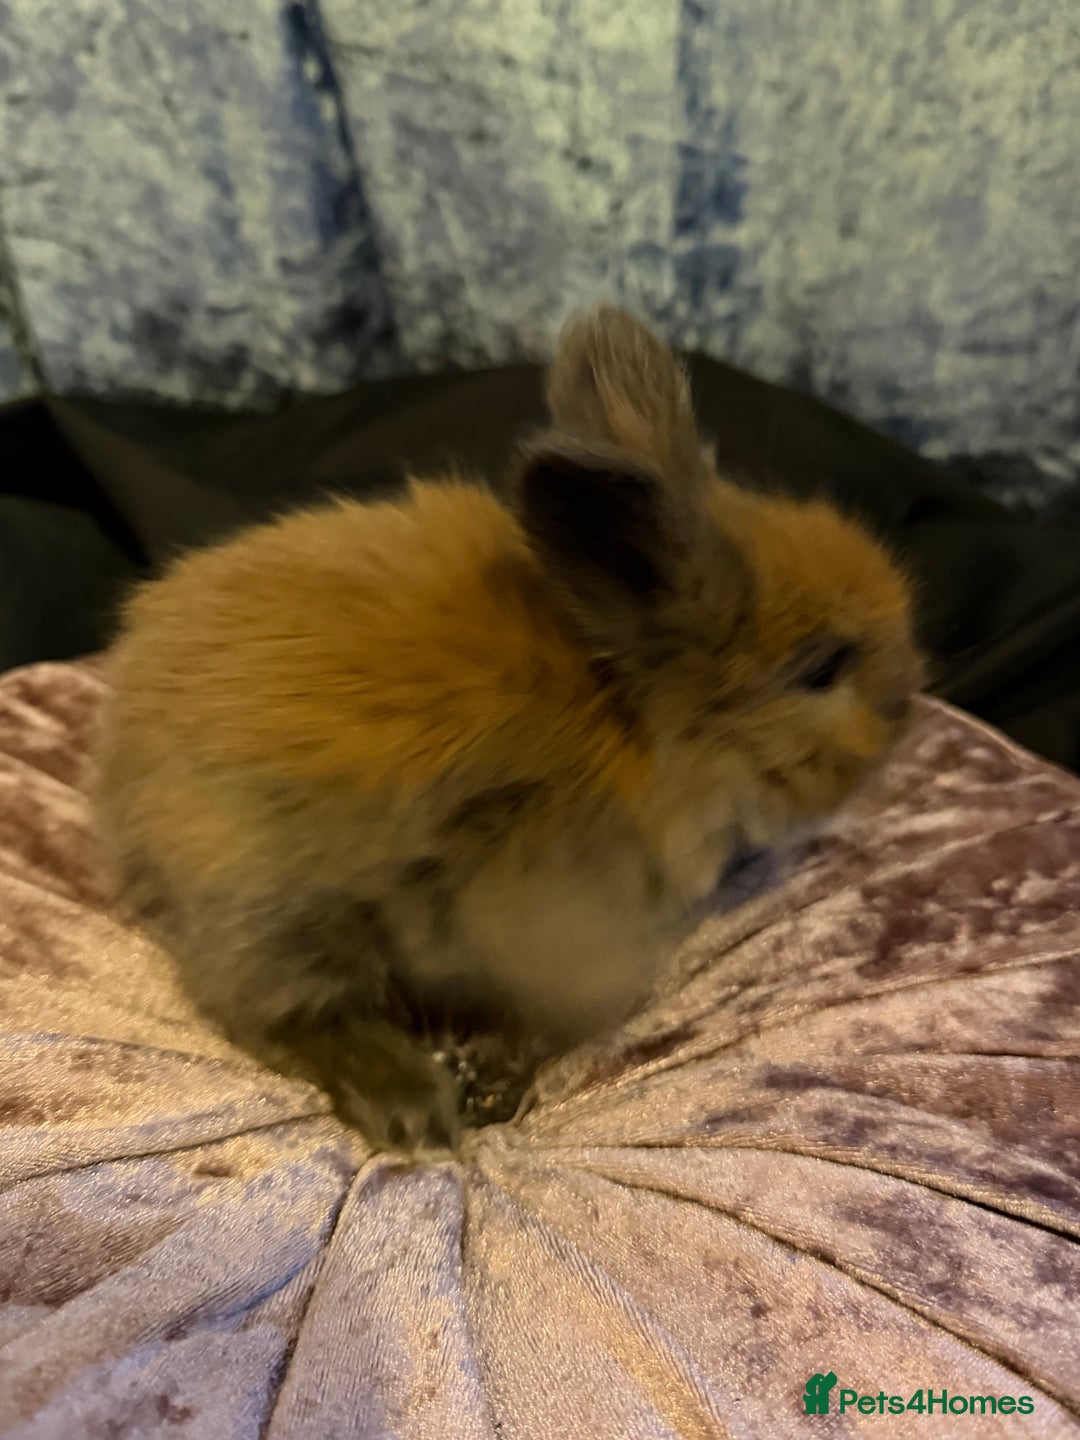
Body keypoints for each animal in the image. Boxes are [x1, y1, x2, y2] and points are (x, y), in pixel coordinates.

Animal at [92, 305, 924, 1155]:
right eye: (821, 668)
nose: (909, 706)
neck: (629, 713)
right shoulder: (555, 933)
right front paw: (490, 1082)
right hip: (273, 910)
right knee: (277, 1015)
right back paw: (415, 1107)